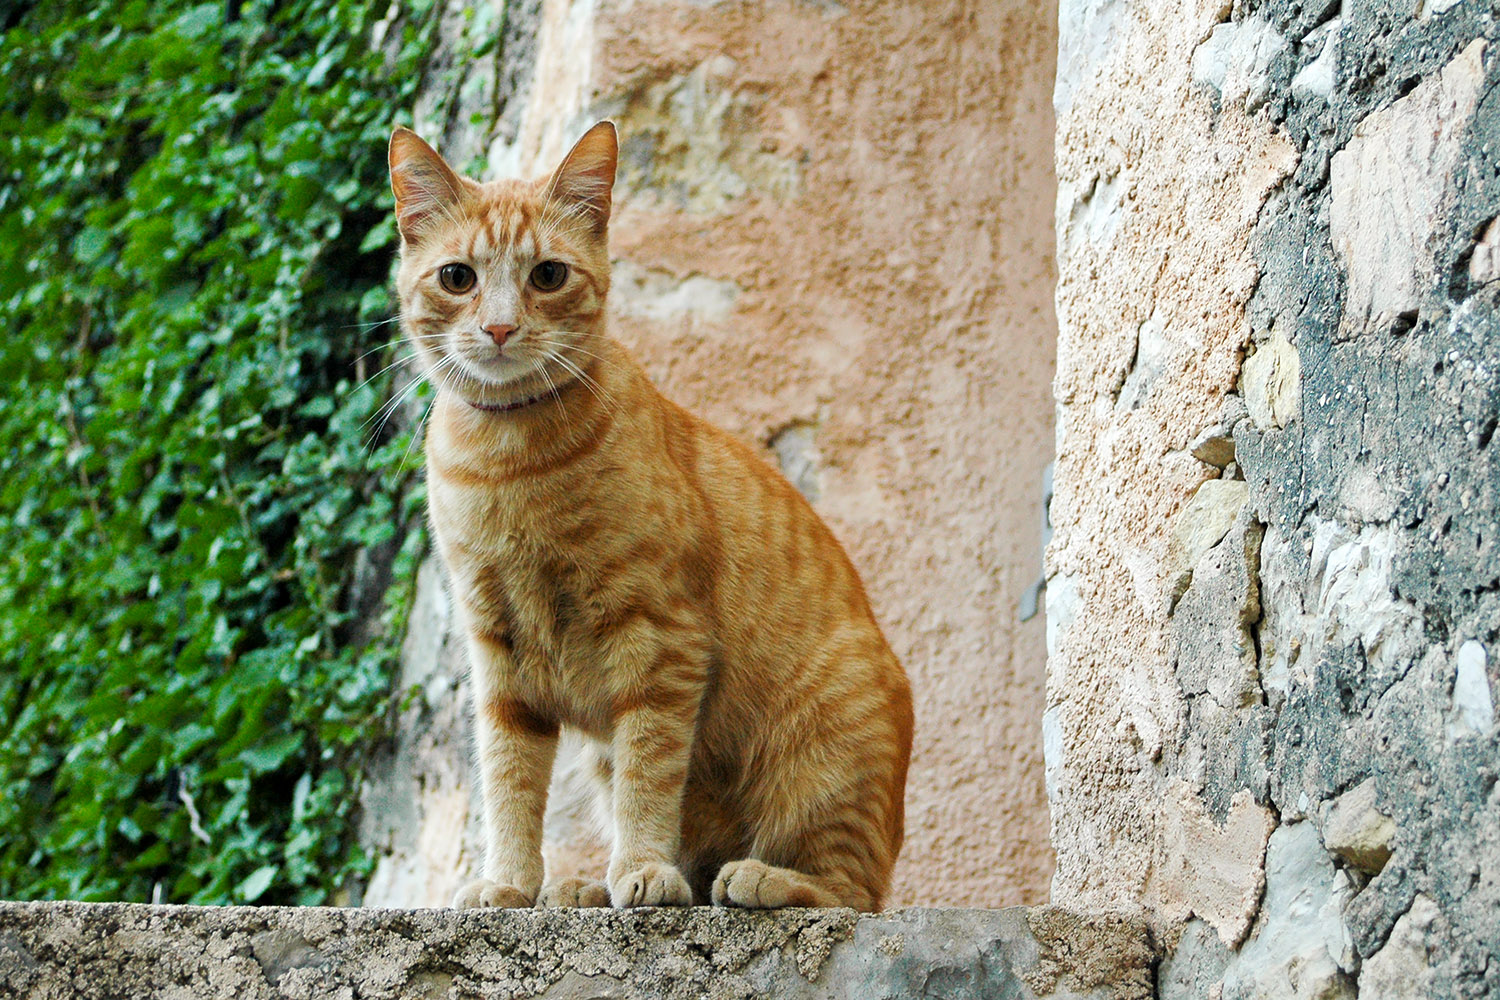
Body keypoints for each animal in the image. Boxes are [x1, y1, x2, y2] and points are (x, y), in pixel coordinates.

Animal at [387, 121, 912, 911]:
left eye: (548, 276)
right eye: (458, 278)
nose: (501, 328)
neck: (509, 463)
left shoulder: (660, 639)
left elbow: (650, 771)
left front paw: (639, 867)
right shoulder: (498, 653)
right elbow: (508, 778)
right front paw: (510, 882)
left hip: (825, 754)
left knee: (850, 889)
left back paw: (758, 877)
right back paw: (583, 888)